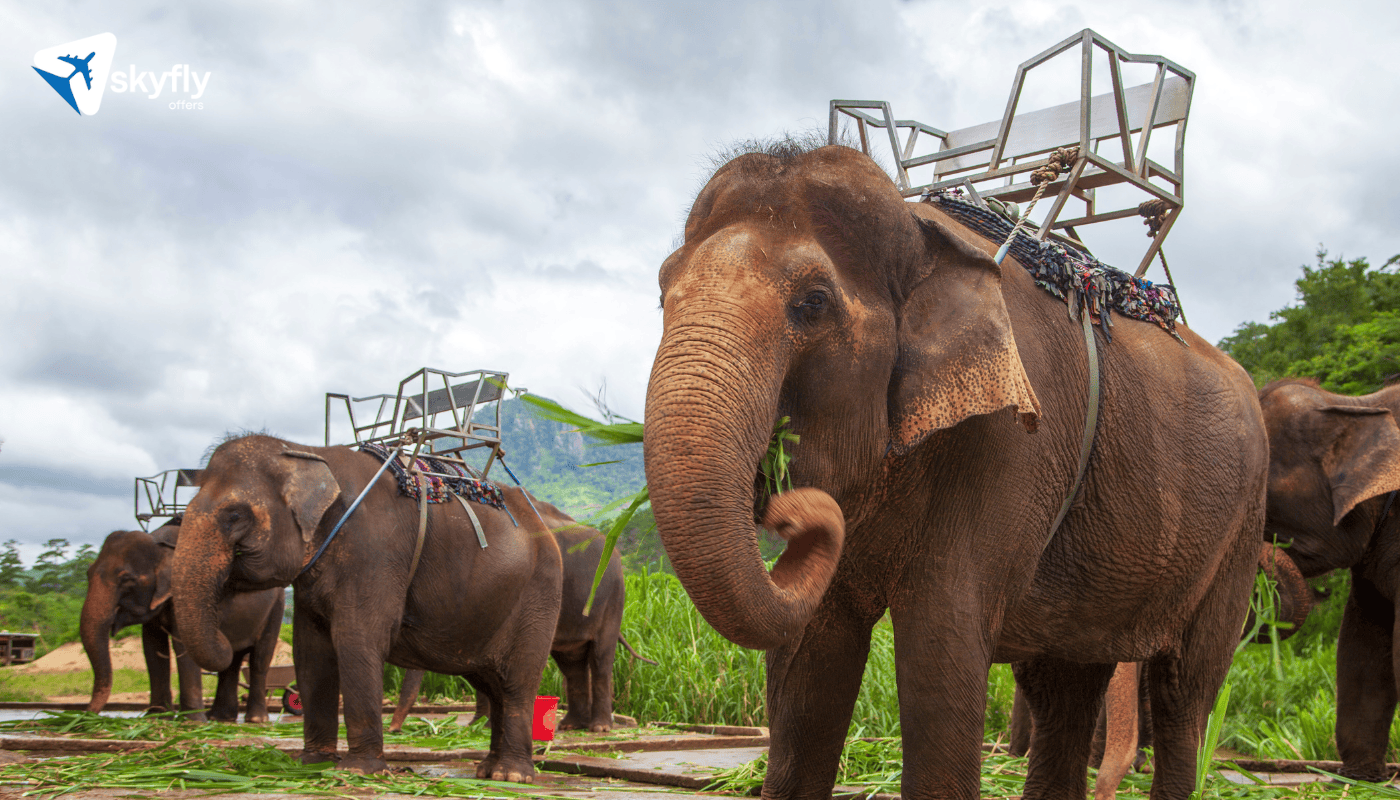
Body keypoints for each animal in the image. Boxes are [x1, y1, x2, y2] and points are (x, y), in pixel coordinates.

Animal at [78, 523, 284, 722]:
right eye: (87, 573)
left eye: (127, 579)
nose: (85, 715)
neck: (159, 543)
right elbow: (152, 648)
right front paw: (157, 718)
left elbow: (183, 646)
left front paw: (192, 721)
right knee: (232, 661)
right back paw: (220, 718)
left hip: (276, 609)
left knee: (260, 659)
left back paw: (255, 719)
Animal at [175, 434, 562, 778]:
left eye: (235, 515)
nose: (228, 641)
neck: (307, 451)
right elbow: (310, 651)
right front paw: (314, 764)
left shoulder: (374, 552)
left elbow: (356, 639)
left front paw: (359, 771)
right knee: (492, 684)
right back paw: (488, 770)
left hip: (538, 596)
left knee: (517, 683)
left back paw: (511, 776)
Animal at [392, 498, 658, 734]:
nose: (395, 729)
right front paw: (479, 726)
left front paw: (486, 726)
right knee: (572, 663)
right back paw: (571, 725)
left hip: (613, 598)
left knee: (600, 657)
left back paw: (599, 728)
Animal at [644, 144, 1271, 800]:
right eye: (662, 296)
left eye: (812, 302)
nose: (790, 507)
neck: (924, 235)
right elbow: (809, 668)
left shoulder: (1014, 443)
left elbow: (940, 649)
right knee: (1063, 686)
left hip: (1239, 535)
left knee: (1183, 692)